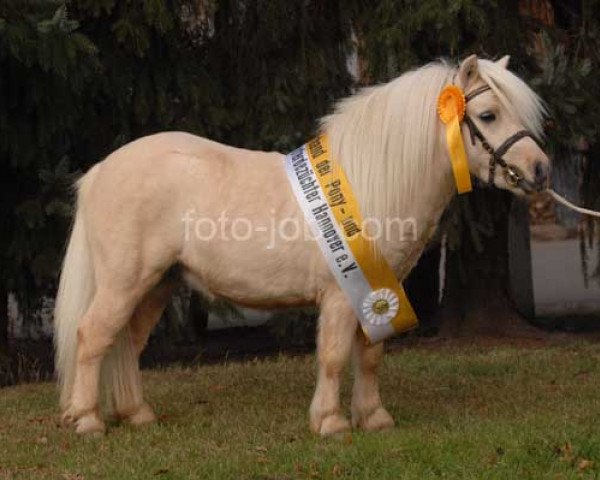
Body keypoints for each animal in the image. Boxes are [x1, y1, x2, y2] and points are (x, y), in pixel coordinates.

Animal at [55, 55, 548, 436]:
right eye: (488, 115)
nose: (540, 170)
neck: (369, 181)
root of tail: (100, 170)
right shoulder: (340, 296)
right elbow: (333, 356)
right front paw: (330, 422)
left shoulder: (378, 292)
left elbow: (370, 356)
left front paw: (373, 417)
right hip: (124, 282)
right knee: (93, 336)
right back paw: (87, 421)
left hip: (156, 285)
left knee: (125, 343)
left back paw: (136, 414)